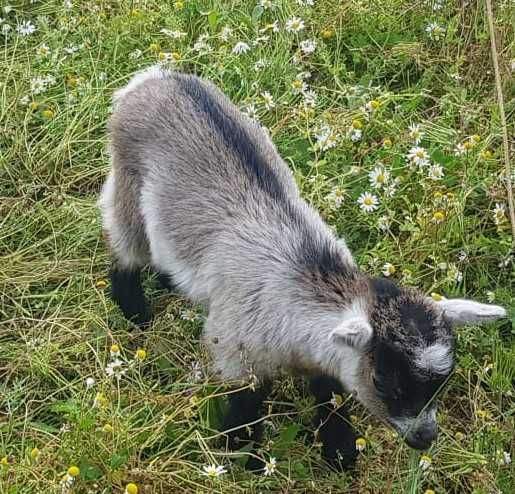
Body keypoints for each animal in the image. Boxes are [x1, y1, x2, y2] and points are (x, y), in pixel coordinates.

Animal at [100, 67, 508, 468]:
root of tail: (156, 77)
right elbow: (246, 401)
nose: (424, 438)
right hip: (127, 184)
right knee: (125, 247)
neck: (304, 279)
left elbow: (328, 390)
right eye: (384, 381)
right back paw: (134, 312)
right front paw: (240, 453)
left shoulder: (323, 352)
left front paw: (339, 449)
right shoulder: (234, 348)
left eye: (443, 381)